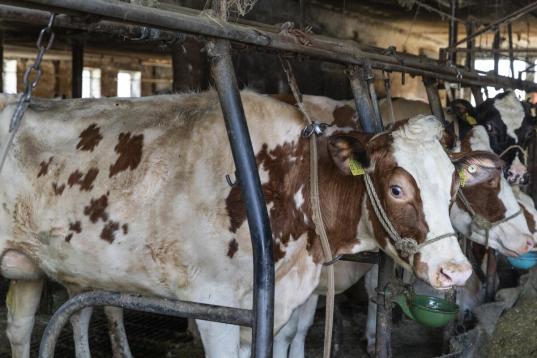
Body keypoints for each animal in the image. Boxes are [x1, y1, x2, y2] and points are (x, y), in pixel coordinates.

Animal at [0, 91, 494, 356]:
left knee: (22, 327)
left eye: (452, 186)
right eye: (395, 189)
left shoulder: (272, 309)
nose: (456, 270)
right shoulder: (214, 306)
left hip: (30, 267)